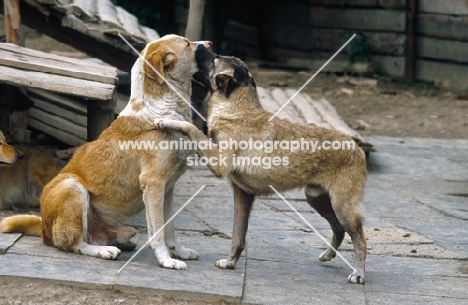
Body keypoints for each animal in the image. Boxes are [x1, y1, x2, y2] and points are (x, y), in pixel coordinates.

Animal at [0, 34, 212, 270]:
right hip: (73, 187)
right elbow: (158, 231)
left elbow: (170, 227)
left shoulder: (168, 188)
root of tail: (44, 227)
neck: (162, 108)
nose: (210, 44)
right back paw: (103, 250)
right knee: (73, 243)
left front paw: (179, 251)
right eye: (187, 43)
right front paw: (166, 259)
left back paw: (119, 242)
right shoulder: (154, 184)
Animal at [155, 50, 368, 282]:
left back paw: (358, 273)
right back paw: (328, 255)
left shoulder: (219, 164)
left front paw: (167, 121)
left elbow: (192, 128)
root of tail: (357, 148)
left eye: (214, 59)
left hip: (342, 207)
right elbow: (238, 236)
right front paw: (230, 263)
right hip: (317, 199)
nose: (201, 47)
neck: (237, 108)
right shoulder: (242, 195)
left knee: (360, 239)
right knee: (338, 229)